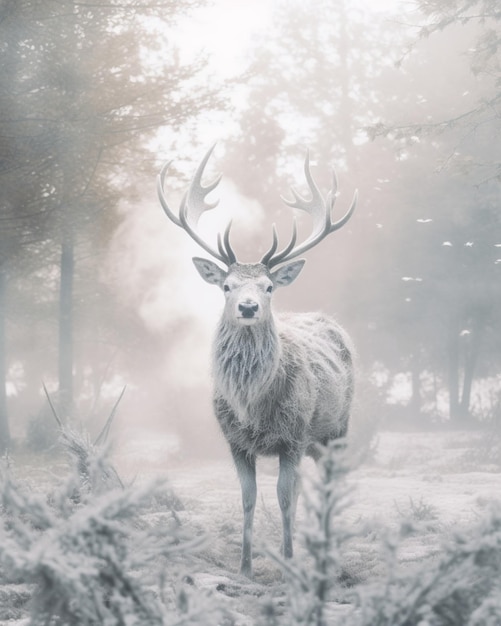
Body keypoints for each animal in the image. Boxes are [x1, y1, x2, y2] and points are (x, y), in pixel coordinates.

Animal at [156, 145, 356, 576]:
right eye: (226, 286)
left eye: (267, 287)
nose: (247, 307)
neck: (253, 407)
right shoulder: (236, 441)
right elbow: (249, 498)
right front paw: (246, 565)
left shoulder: (293, 436)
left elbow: (281, 496)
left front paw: (288, 561)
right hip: (315, 442)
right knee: (304, 487)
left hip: (337, 428)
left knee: (326, 483)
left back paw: (325, 552)